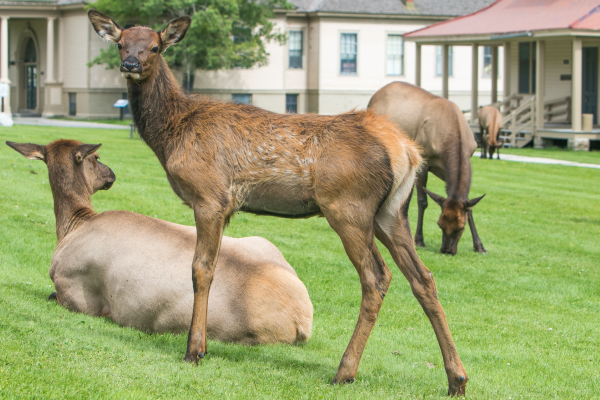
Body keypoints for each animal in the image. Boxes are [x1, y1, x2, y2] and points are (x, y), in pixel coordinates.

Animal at [5, 140, 314, 344]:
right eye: (97, 158)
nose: (111, 174)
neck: (74, 225)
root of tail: (303, 319)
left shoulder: (76, 295)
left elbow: (53, 295)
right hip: (263, 241)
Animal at [89, 10, 472, 396]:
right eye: (121, 43)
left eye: (155, 46)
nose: (131, 64)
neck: (172, 135)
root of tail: (406, 150)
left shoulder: (210, 196)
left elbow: (201, 269)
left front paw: (194, 350)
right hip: (391, 212)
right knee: (423, 277)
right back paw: (456, 378)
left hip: (348, 206)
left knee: (376, 277)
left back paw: (344, 371)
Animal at [366, 81, 488, 255]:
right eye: (440, 224)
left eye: (460, 227)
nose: (447, 250)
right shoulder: (423, 162)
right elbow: (422, 201)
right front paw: (419, 239)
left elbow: (469, 206)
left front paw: (479, 245)